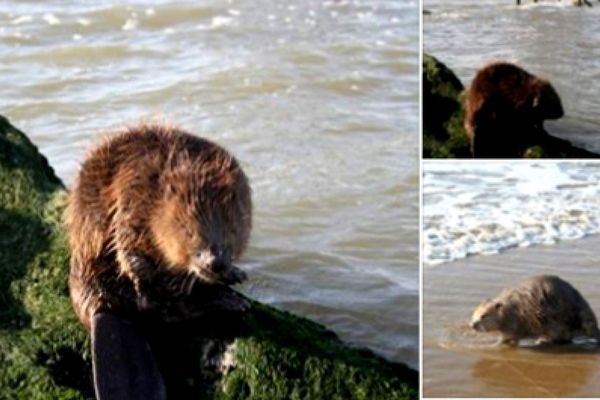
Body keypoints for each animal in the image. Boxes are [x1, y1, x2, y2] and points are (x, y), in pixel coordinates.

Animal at [64, 122, 252, 328]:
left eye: (232, 230)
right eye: (188, 231)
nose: (215, 262)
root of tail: (99, 309)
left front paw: (234, 273)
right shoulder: (132, 198)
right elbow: (128, 247)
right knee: (159, 309)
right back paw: (230, 302)